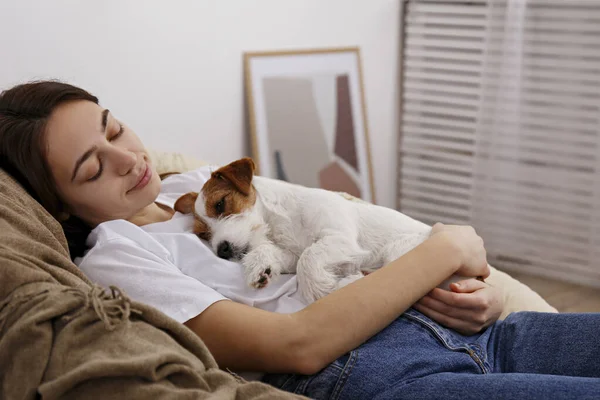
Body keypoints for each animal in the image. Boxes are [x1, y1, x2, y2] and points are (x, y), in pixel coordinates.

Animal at [176, 158, 466, 302]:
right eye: (203, 234)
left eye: (221, 204)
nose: (222, 250)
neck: (281, 222)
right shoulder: (290, 253)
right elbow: (284, 255)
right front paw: (260, 266)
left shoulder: (340, 238)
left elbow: (309, 258)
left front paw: (321, 289)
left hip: (400, 251)